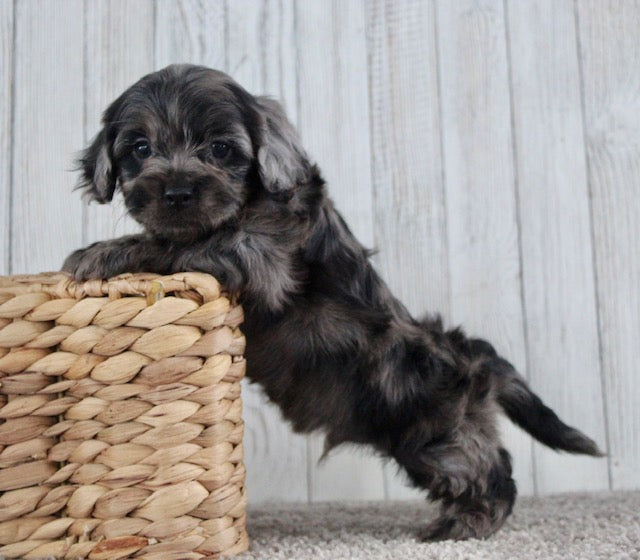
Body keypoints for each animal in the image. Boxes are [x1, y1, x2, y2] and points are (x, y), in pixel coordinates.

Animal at [63, 64, 602, 541]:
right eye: (140, 148)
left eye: (220, 148)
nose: (176, 192)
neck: (253, 198)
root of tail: (470, 355)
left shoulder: (256, 252)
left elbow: (181, 244)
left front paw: (100, 252)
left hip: (434, 435)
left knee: (491, 468)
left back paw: (469, 523)